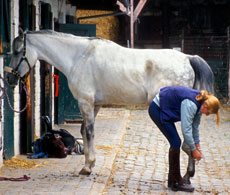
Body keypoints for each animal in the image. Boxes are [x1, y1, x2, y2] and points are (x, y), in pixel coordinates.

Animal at [5, 29, 214, 181]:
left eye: (17, 52)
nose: (9, 79)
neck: (78, 56)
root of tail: (188, 58)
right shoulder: (95, 105)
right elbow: (84, 131)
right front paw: (89, 164)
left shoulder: (86, 103)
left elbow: (89, 133)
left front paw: (87, 167)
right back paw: (188, 175)